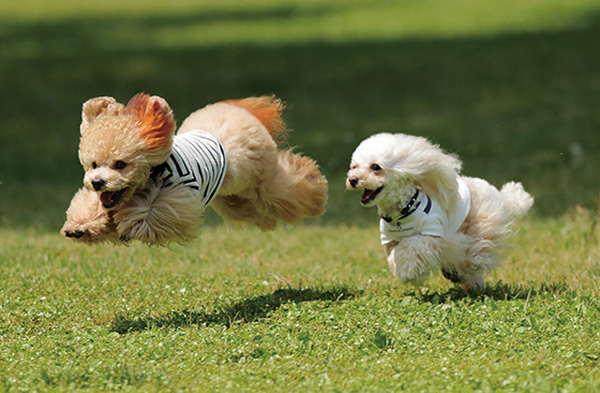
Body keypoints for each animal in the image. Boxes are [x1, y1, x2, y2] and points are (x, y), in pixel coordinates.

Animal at [61, 93, 328, 243]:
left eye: (120, 164)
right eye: (94, 164)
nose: (97, 182)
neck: (153, 176)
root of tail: (235, 108)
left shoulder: (178, 198)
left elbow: (149, 214)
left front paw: (128, 226)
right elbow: (94, 208)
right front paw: (82, 226)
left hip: (264, 180)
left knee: (288, 187)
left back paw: (317, 194)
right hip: (229, 196)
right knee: (249, 209)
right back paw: (268, 221)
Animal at [346, 132, 536, 288]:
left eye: (375, 167)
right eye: (354, 166)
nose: (353, 179)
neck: (404, 210)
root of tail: (501, 196)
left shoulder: (434, 233)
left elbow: (413, 245)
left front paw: (409, 272)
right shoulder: (389, 239)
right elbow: (394, 255)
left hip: (481, 226)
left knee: (475, 255)